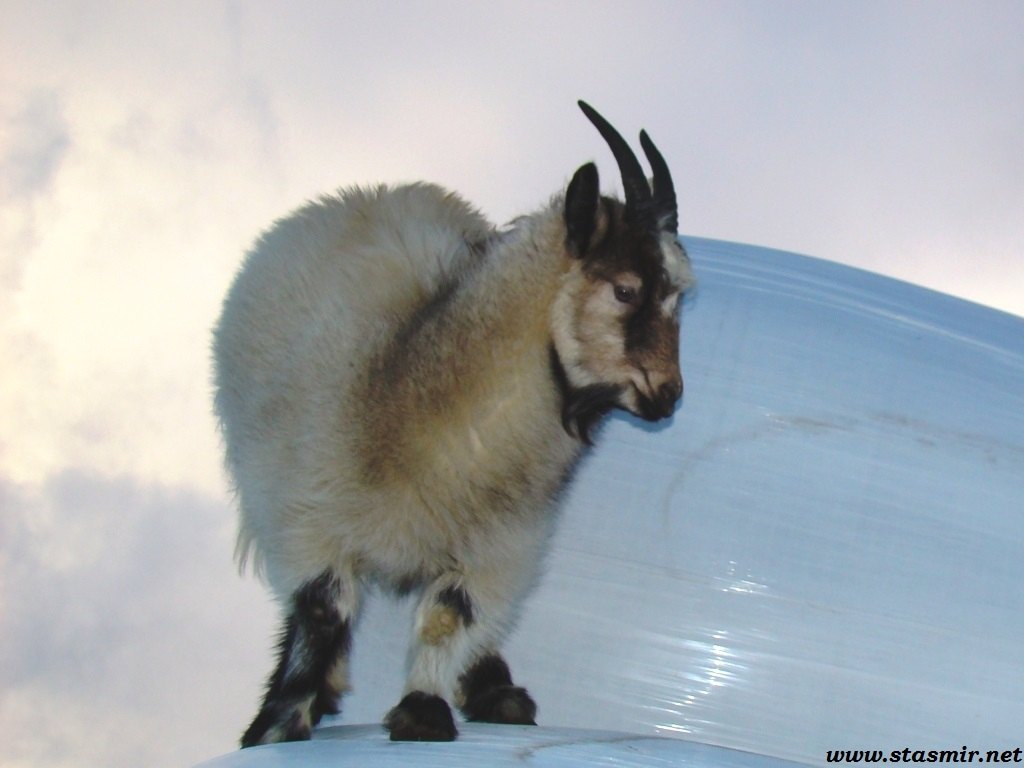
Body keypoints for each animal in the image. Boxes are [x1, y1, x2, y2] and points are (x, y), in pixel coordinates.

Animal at [212, 101, 693, 746]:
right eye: (625, 289)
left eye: (679, 299)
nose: (668, 396)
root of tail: (374, 192)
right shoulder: (305, 514)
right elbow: (322, 608)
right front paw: (280, 721)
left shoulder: (503, 542)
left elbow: (449, 616)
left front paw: (424, 709)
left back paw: (494, 690)